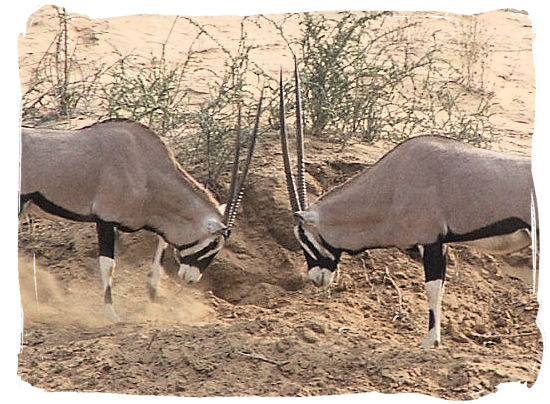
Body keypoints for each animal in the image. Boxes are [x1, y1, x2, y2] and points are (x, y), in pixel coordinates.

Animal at [18, 92, 264, 322]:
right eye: (213, 244)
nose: (192, 279)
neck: (145, 170)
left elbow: (161, 247)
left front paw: (153, 294)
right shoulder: (105, 220)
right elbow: (108, 265)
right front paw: (111, 314)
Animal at [280, 65, 540, 348]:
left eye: (304, 238)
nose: (316, 278)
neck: (392, 184)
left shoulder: (431, 241)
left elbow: (432, 288)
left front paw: (430, 342)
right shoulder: (438, 244)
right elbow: (440, 287)